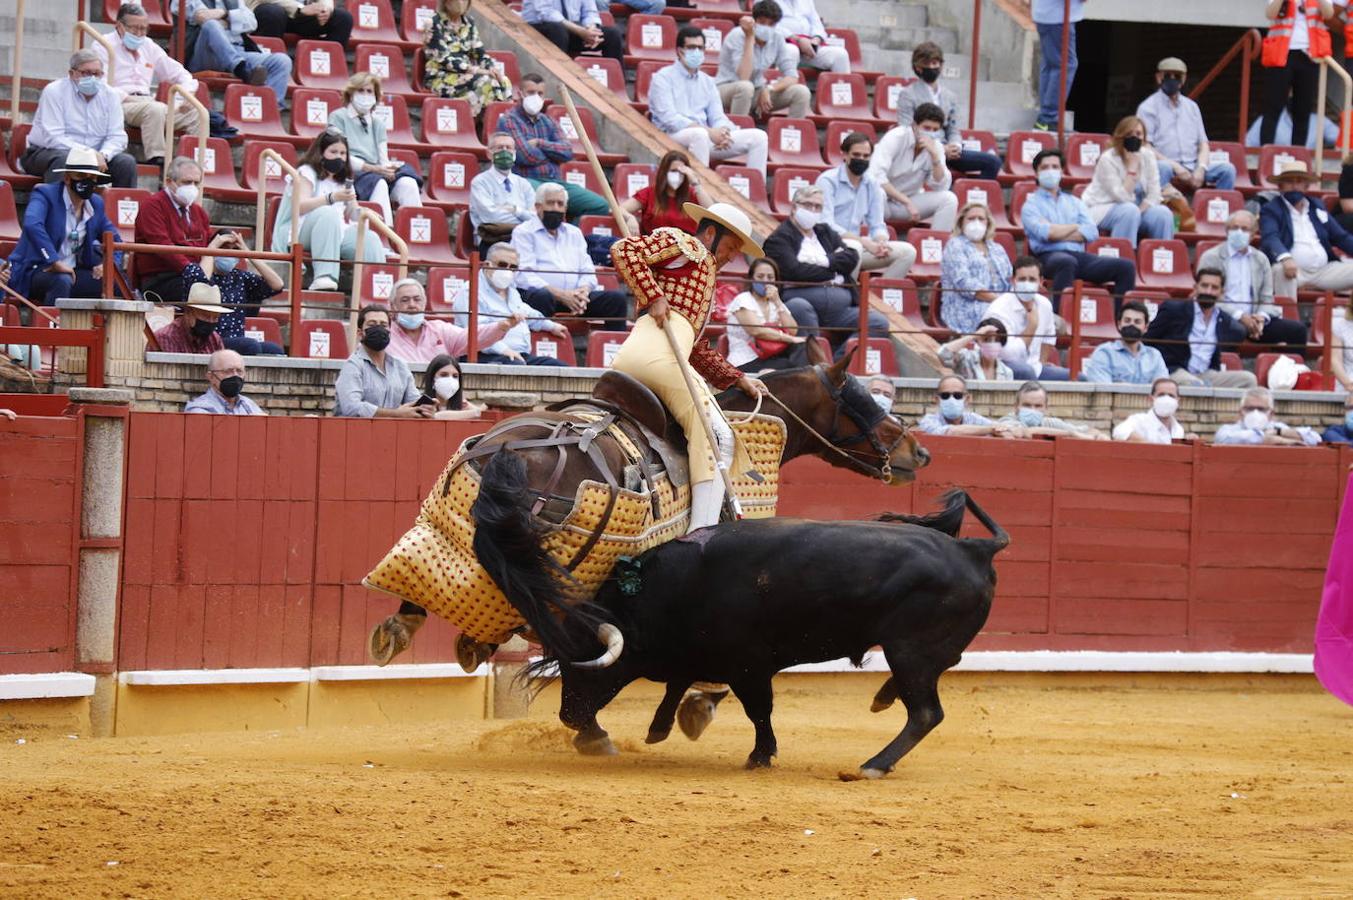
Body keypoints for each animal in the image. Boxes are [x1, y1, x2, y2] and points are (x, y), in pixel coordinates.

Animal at [535, 487, 1006, 774]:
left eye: (588, 663)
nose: (568, 716)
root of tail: (975, 549)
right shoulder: (700, 652)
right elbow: (678, 682)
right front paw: (662, 726)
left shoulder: (750, 666)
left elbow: (757, 710)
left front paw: (760, 756)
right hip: (913, 651)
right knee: (936, 678)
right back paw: (881, 700)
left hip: (910, 650)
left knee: (925, 712)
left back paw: (874, 763)